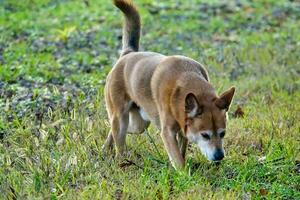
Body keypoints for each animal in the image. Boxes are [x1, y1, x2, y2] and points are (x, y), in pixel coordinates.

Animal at [102, 0, 234, 169]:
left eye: (223, 133)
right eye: (205, 135)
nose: (219, 156)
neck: (185, 78)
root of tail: (128, 54)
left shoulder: (183, 130)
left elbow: (181, 151)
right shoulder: (168, 132)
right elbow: (178, 158)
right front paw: (183, 173)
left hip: (140, 123)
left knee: (118, 129)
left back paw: (106, 147)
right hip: (121, 117)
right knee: (119, 137)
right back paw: (120, 160)